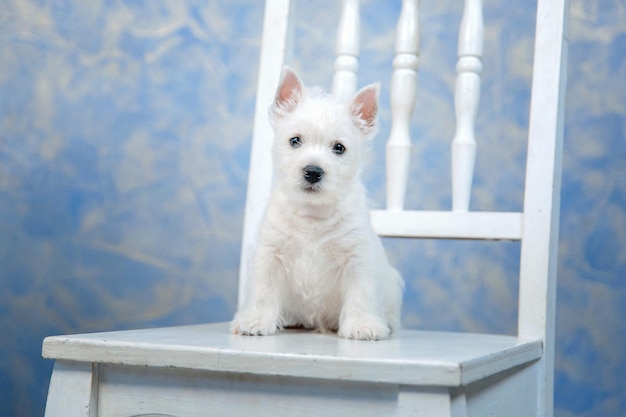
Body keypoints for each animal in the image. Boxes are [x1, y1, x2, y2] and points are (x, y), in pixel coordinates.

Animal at [232, 66, 402, 340]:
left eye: (339, 148)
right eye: (295, 140)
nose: (313, 171)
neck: (312, 213)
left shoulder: (357, 258)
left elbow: (360, 293)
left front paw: (362, 325)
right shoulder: (270, 253)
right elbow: (263, 290)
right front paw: (255, 321)